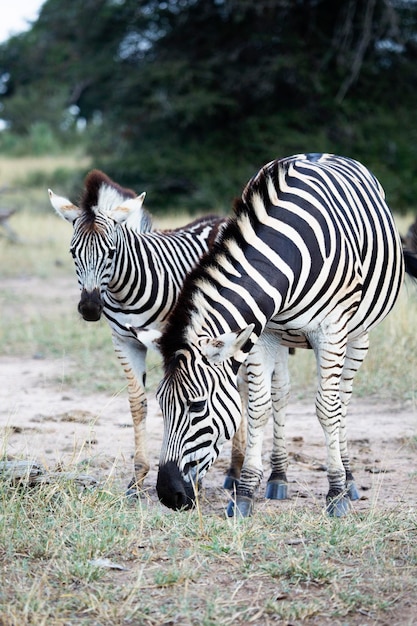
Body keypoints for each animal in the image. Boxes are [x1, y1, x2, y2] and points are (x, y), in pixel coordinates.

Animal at [145, 152, 416, 516]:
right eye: (161, 404)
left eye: (197, 406)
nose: (168, 495)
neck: (284, 255)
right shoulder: (262, 333)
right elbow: (258, 407)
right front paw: (245, 493)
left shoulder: (331, 332)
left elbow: (327, 408)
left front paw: (335, 494)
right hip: (284, 337)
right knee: (281, 395)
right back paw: (279, 476)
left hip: (359, 334)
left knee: (342, 398)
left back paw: (349, 478)